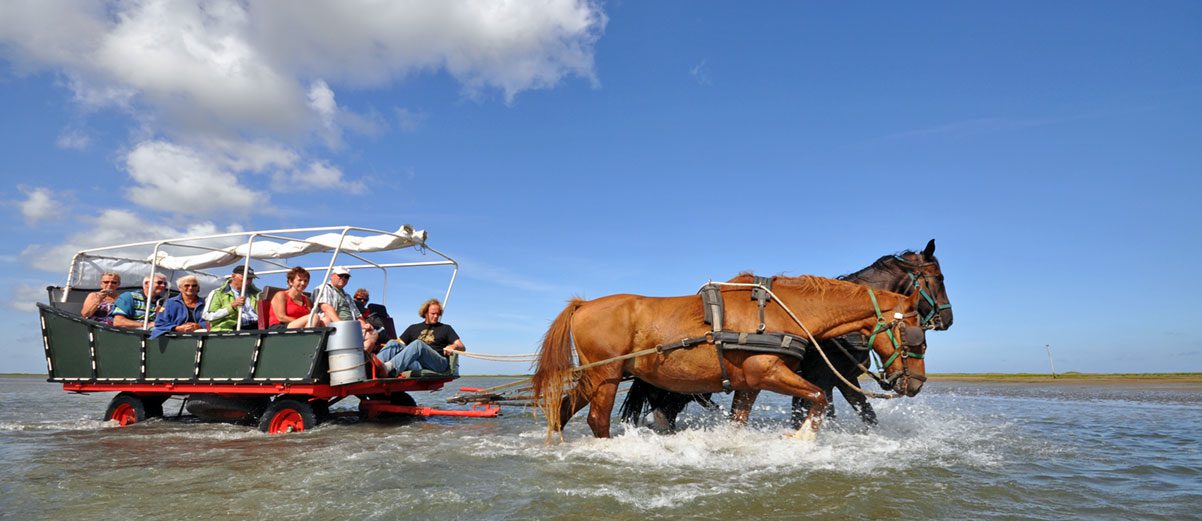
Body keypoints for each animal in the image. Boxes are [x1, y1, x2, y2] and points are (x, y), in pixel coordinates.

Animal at [528, 274, 927, 440]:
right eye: (916, 335)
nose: (918, 383)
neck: (782, 311)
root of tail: (582, 305)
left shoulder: (750, 383)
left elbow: (738, 421)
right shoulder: (769, 373)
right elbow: (816, 398)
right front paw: (802, 440)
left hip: (594, 377)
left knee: (565, 409)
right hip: (606, 376)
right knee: (597, 420)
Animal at [625, 237, 951, 428]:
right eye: (939, 278)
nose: (948, 318)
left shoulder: (839, 381)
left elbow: (862, 415)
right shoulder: (827, 379)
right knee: (663, 413)